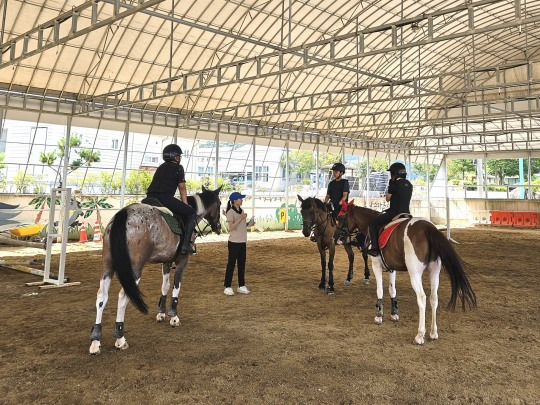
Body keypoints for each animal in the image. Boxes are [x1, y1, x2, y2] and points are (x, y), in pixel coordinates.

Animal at [90, 186, 221, 354]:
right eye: (220, 204)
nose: (218, 227)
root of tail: (123, 214)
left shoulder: (166, 261)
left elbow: (165, 286)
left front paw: (161, 313)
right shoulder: (182, 260)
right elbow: (176, 285)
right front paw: (173, 317)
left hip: (107, 266)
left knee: (101, 296)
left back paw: (95, 341)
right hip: (134, 269)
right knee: (123, 296)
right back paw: (120, 338)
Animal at [332, 204, 474, 342]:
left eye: (340, 218)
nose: (334, 237)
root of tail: (428, 227)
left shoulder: (376, 265)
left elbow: (380, 290)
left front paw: (379, 316)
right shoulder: (391, 268)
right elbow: (392, 290)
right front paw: (394, 313)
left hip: (415, 274)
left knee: (422, 298)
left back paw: (420, 335)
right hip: (434, 270)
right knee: (434, 297)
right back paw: (433, 333)